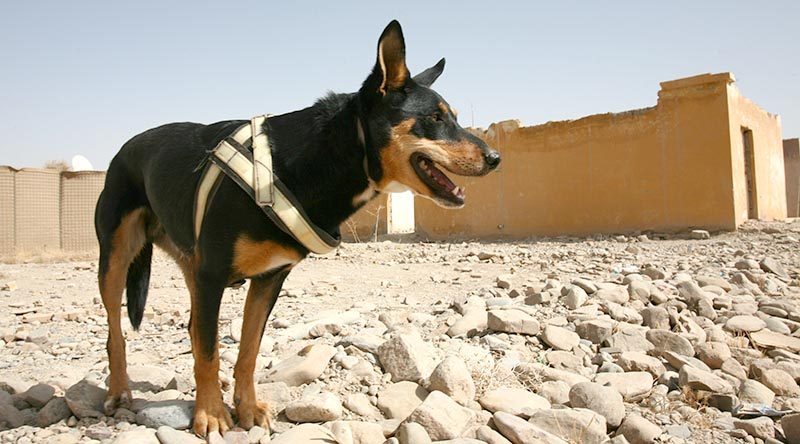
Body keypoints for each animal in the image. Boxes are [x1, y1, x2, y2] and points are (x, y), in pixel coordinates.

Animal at [95, 20, 500, 438]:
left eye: (453, 117)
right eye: (435, 118)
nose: (495, 157)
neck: (308, 162)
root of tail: (124, 147)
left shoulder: (269, 279)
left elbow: (247, 350)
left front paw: (246, 407)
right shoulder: (212, 275)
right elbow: (208, 352)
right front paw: (211, 414)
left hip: (191, 268)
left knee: (192, 327)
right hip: (116, 258)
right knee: (116, 331)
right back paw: (119, 390)